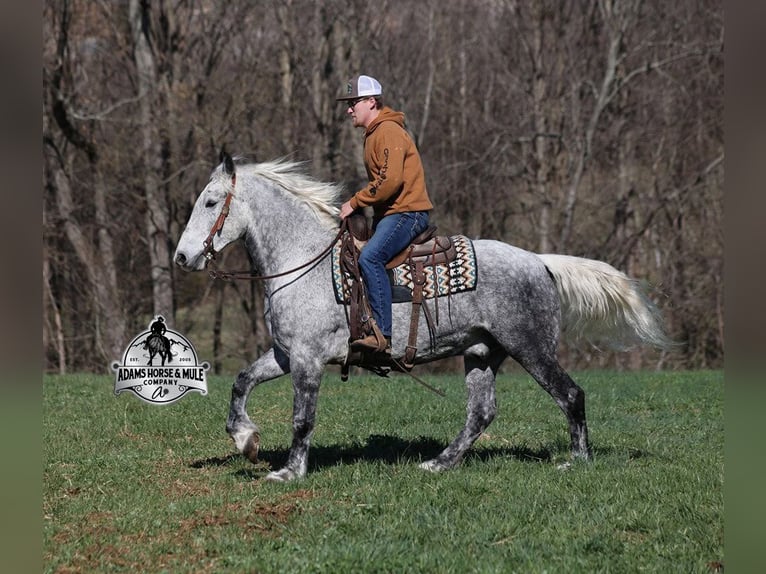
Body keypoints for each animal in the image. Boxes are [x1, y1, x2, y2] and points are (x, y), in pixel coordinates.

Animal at [174, 153, 671, 482]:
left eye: (211, 202)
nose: (182, 257)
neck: (303, 262)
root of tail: (541, 262)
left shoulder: (308, 359)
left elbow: (302, 418)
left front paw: (289, 472)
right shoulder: (285, 353)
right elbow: (241, 382)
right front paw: (246, 440)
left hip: (531, 348)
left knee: (570, 395)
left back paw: (577, 460)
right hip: (482, 352)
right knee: (481, 413)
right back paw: (439, 463)